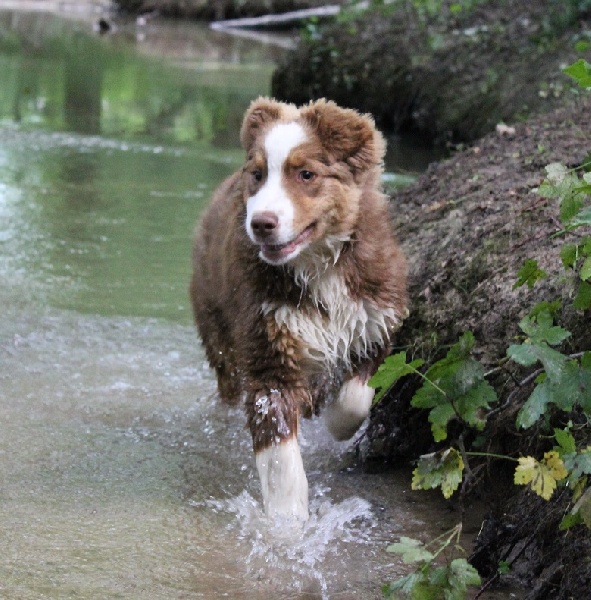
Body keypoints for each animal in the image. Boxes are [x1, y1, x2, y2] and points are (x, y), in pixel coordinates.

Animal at [190, 97, 408, 520]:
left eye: (306, 173)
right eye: (258, 174)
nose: (261, 223)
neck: (318, 266)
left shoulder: (375, 319)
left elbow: (357, 395)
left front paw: (336, 421)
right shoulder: (268, 339)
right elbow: (279, 455)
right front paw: (287, 522)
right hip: (216, 323)